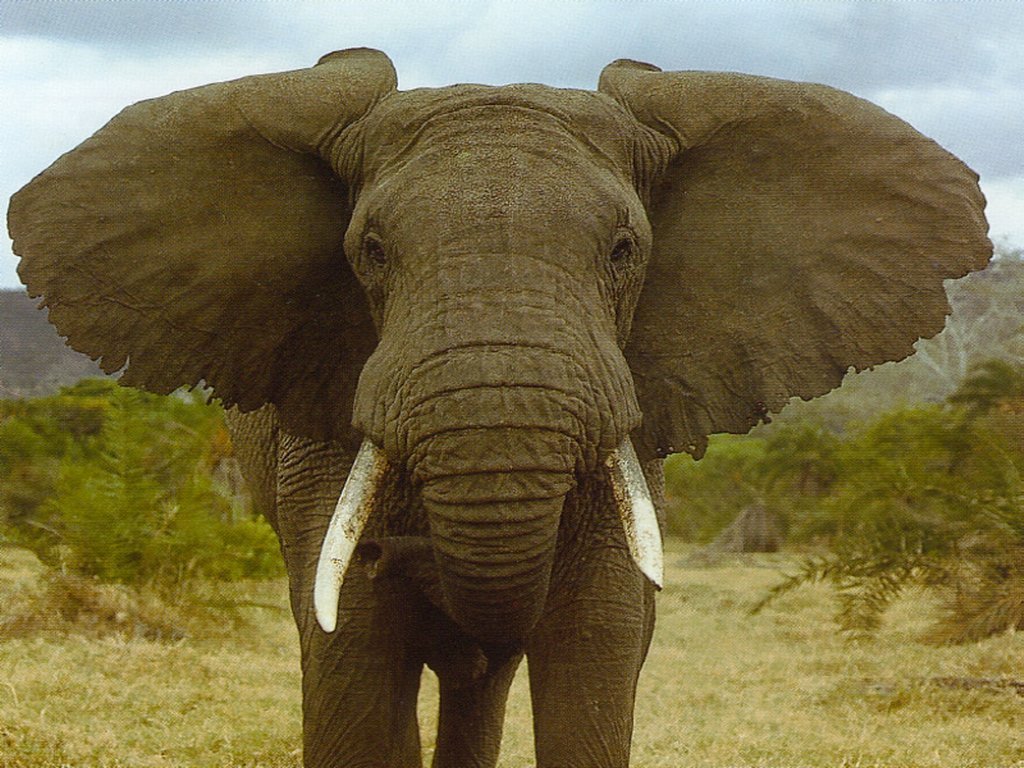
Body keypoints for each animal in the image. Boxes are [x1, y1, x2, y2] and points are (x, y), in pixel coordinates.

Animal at [7, 48, 990, 767]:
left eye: (625, 249)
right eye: (370, 250)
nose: (399, 550)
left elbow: (597, 655)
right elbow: (351, 668)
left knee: (480, 680)